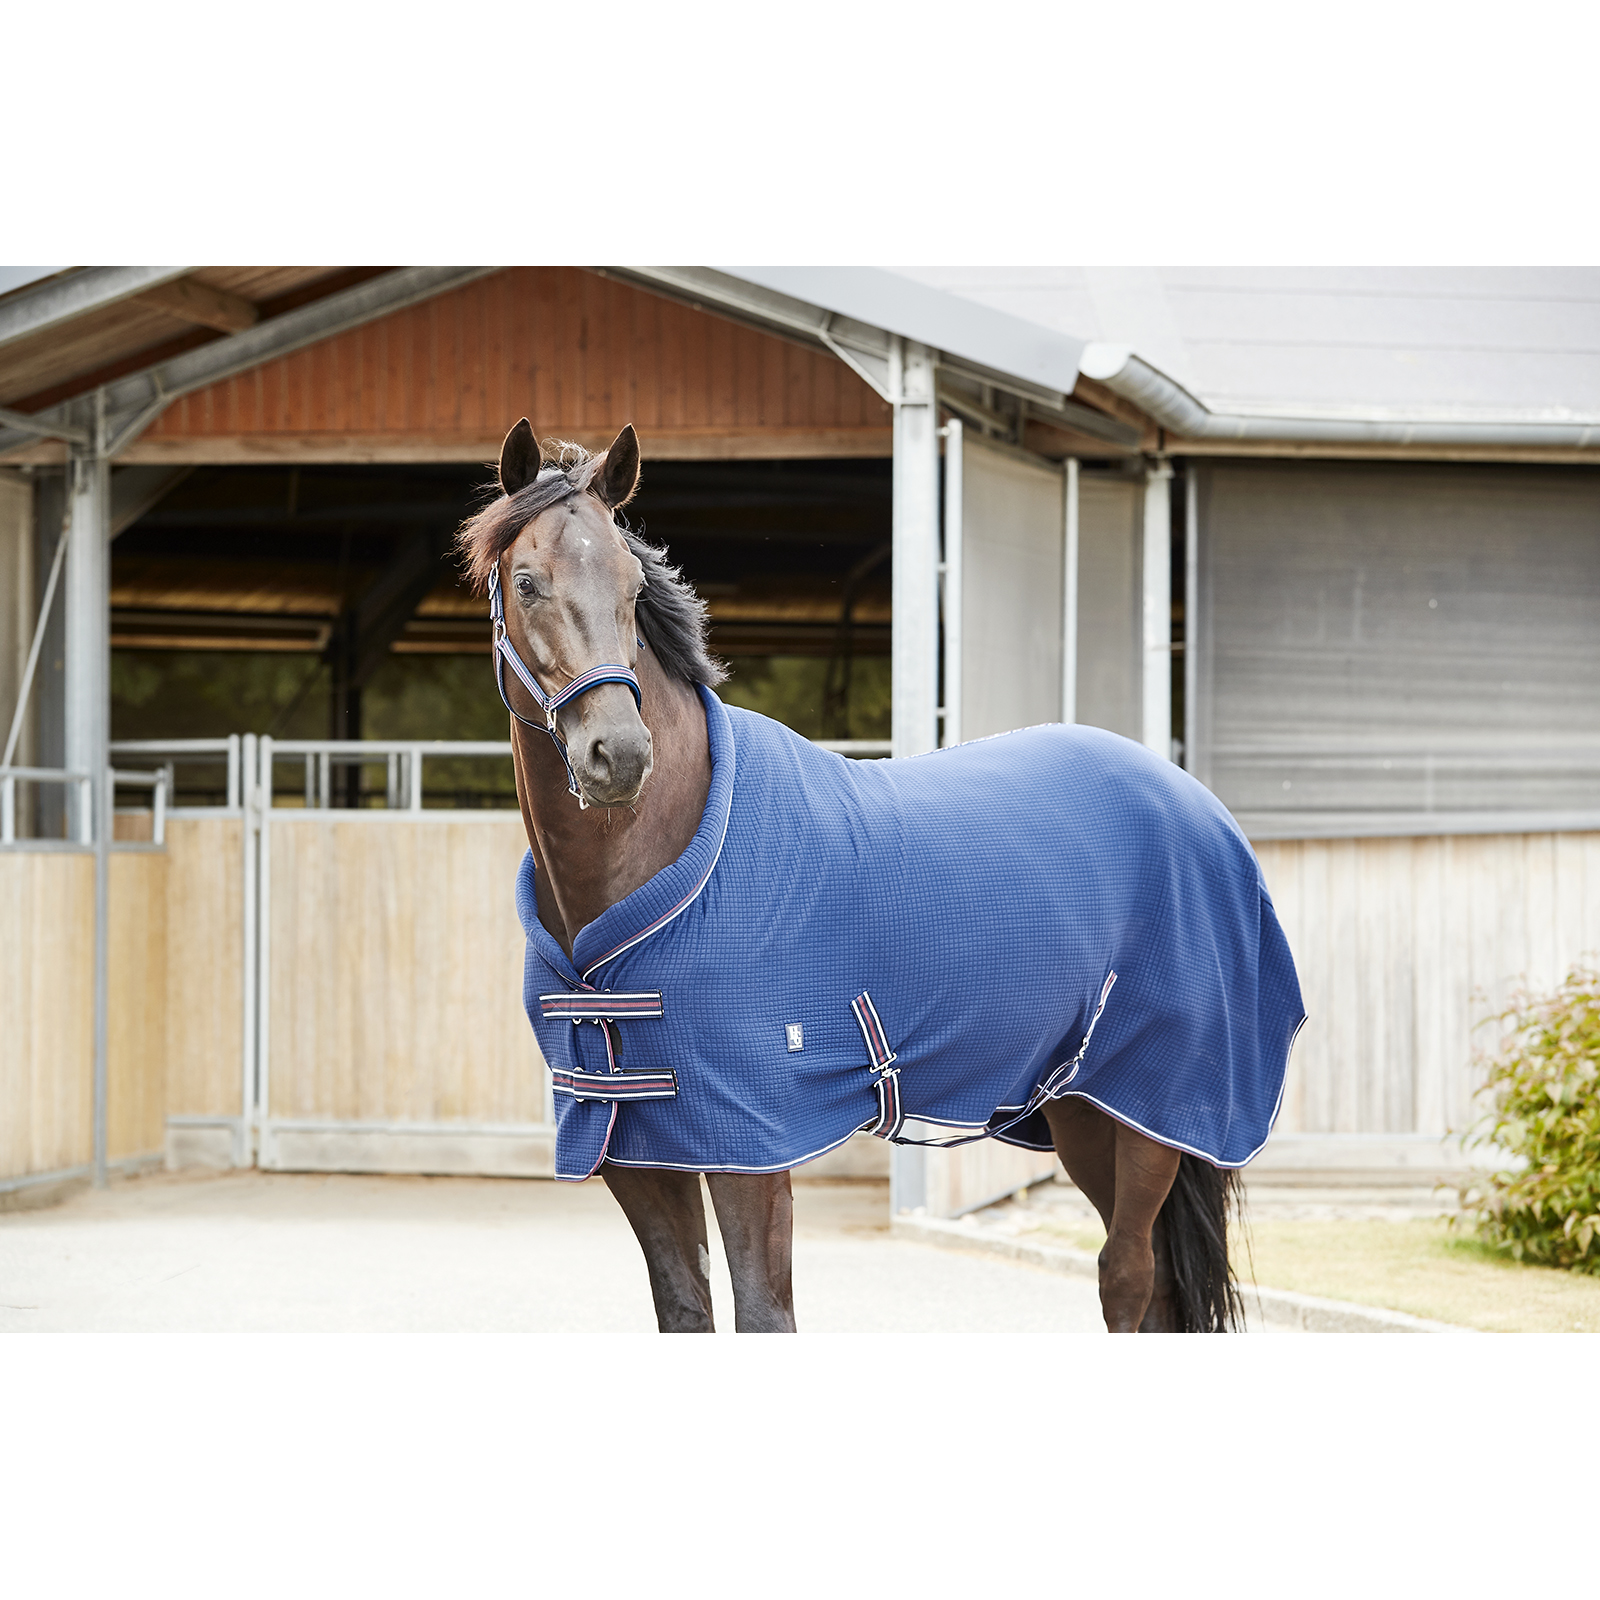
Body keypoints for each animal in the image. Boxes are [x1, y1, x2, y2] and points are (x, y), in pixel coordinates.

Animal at [458, 420, 1305, 1333]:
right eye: (528, 583)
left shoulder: (753, 1147)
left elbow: (764, 1314)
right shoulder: (637, 1148)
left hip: (1159, 1111)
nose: (617, 755)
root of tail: (1196, 804)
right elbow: (687, 1310)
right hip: (1087, 1111)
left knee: (1128, 1276)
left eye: (631, 582)